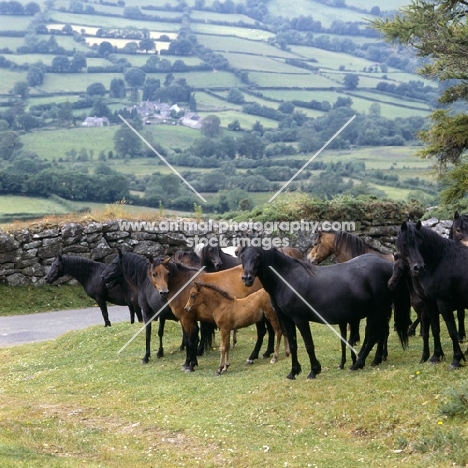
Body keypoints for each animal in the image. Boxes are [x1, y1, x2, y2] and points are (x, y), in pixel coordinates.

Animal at [238, 247, 410, 378]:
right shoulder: (286, 320)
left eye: (258, 257)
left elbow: (309, 345)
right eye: (242, 258)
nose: (247, 278)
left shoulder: (300, 319)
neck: (286, 279)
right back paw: (373, 360)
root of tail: (389, 266)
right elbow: (293, 345)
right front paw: (293, 372)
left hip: (377, 311)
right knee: (379, 334)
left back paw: (358, 364)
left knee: (374, 335)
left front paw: (314, 371)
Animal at [396, 220, 468, 370]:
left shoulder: (443, 303)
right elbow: (435, 329)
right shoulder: (429, 304)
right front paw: (435, 356)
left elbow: (452, 331)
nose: (418, 268)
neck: (438, 261)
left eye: (420, 242)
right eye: (404, 244)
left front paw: (456, 359)